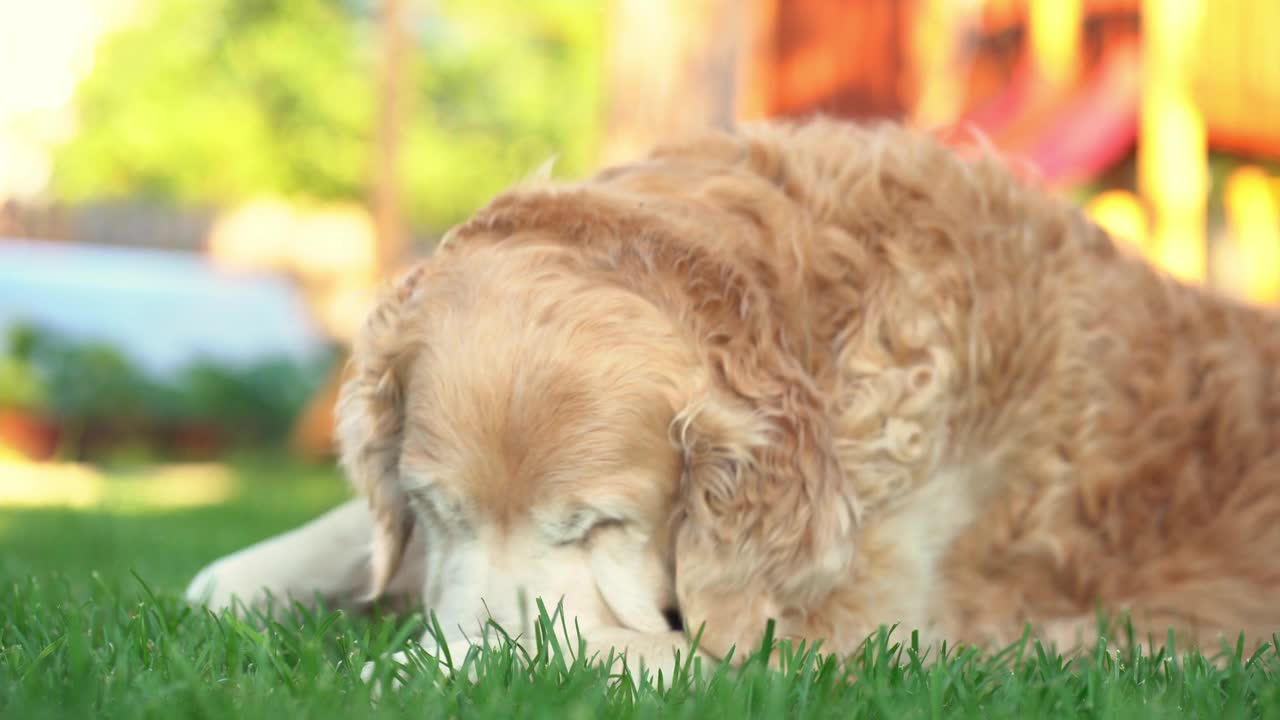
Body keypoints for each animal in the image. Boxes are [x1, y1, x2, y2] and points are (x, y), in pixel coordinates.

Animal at [185, 114, 1280, 676]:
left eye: (598, 526)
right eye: (431, 507)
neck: (810, 323)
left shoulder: (843, 645)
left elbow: (585, 642)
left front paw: (436, 665)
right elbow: (234, 580)